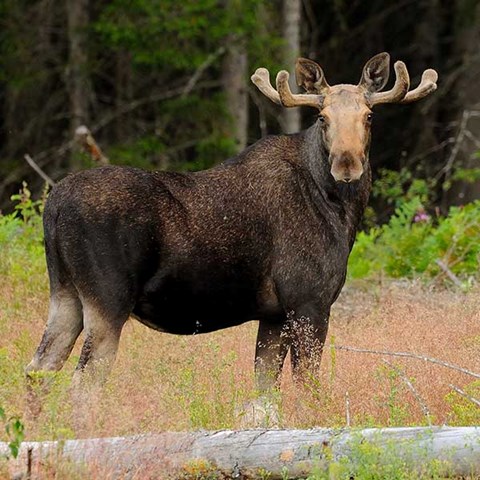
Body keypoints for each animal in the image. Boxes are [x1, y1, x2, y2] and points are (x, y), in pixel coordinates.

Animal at [27, 53, 438, 402]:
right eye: (322, 117)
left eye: (369, 116)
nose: (347, 164)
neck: (341, 209)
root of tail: (54, 206)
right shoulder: (309, 301)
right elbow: (308, 389)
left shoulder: (274, 314)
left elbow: (264, 393)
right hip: (107, 301)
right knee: (80, 389)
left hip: (64, 295)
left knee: (37, 371)